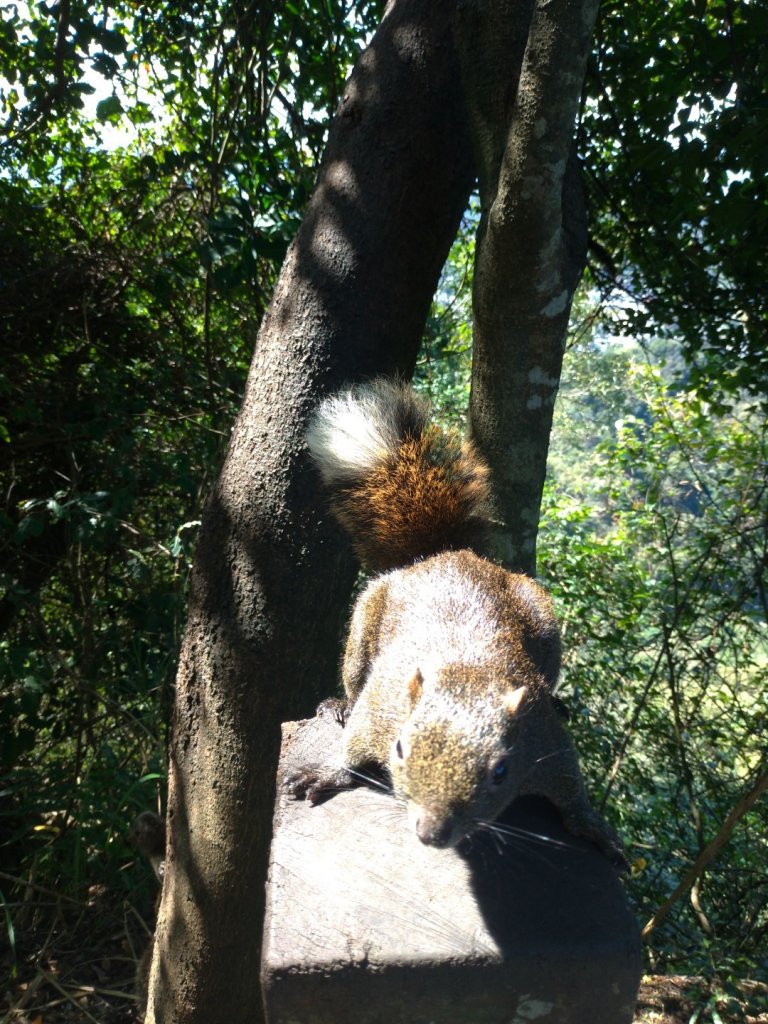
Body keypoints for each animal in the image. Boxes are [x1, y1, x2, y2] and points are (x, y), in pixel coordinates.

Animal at [286, 380, 626, 868]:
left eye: (501, 771)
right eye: (400, 748)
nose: (432, 832)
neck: (468, 673)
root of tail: (445, 554)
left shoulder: (542, 738)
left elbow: (571, 786)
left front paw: (594, 828)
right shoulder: (381, 705)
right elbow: (353, 746)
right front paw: (329, 772)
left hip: (545, 626)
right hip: (363, 626)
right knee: (353, 681)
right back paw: (337, 704)